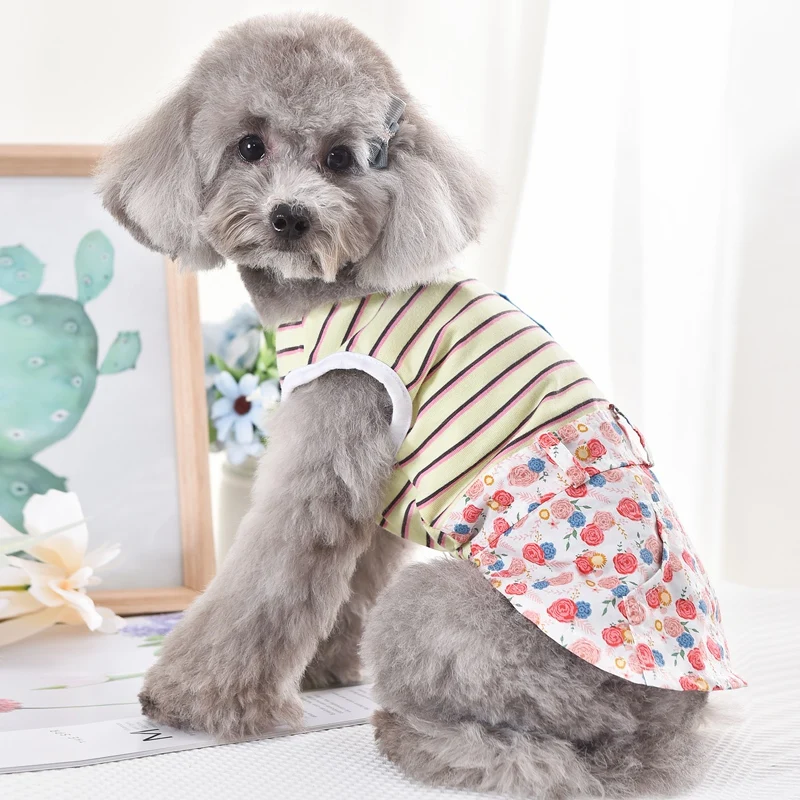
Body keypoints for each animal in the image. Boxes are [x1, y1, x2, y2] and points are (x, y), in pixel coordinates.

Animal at [97, 14, 745, 798]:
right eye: (250, 145)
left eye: (341, 159)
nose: (291, 216)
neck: (336, 287)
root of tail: (672, 715)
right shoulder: (372, 480)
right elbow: (342, 584)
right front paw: (322, 670)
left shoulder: (324, 451)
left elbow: (265, 585)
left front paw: (196, 702)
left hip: (445, 617)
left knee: (541, 758)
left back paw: (409, 735)